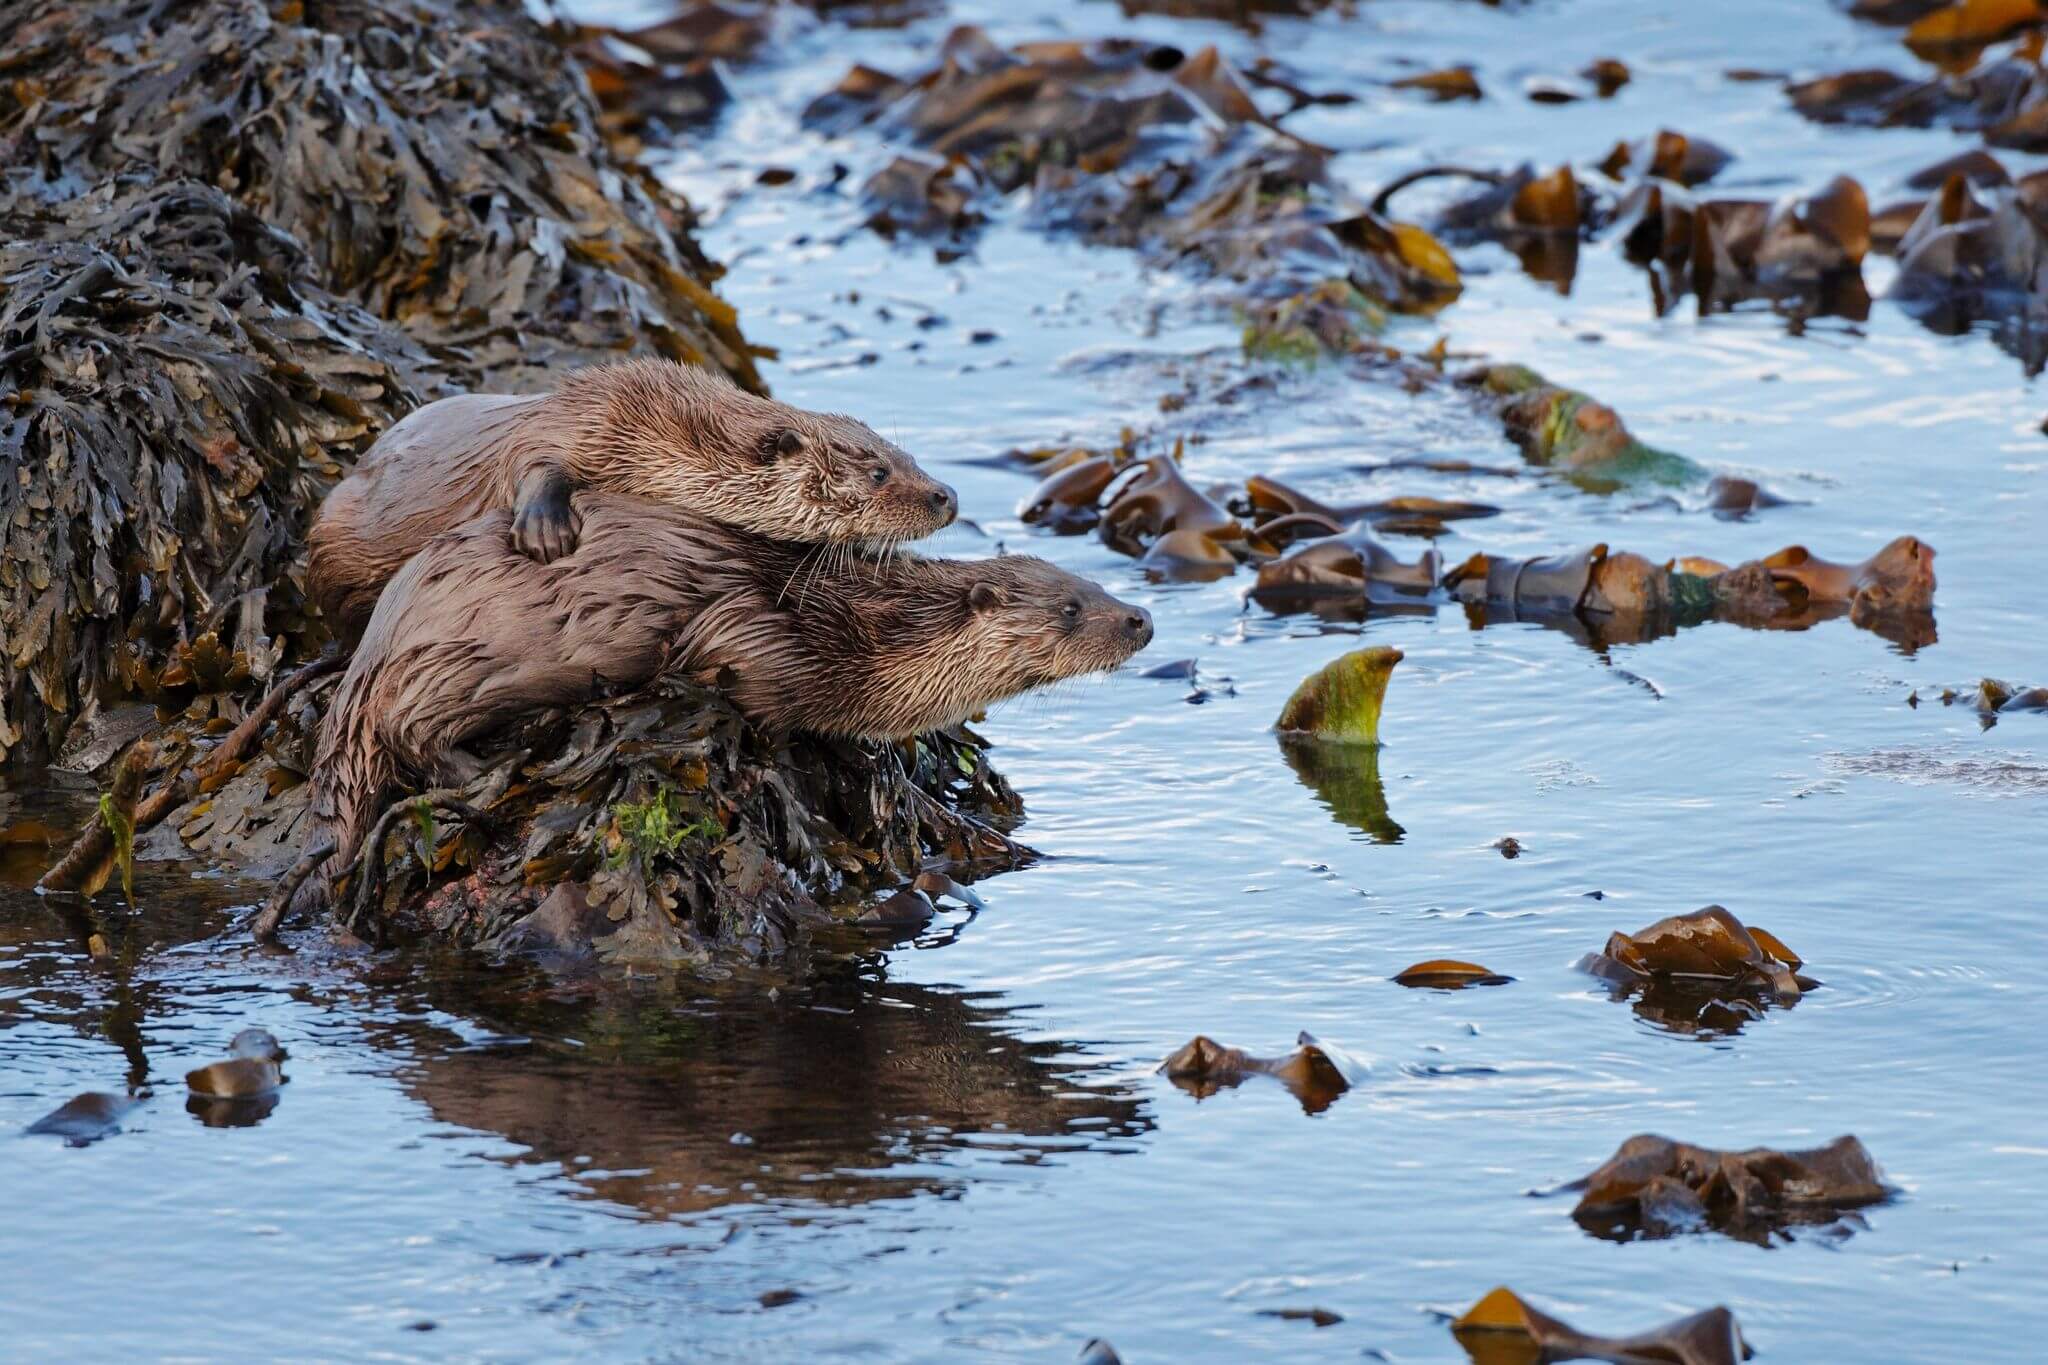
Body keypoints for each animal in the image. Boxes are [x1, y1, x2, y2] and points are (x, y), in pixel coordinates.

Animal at [299, 497, 1155, 912]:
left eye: (1098, 585)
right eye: (1073, 608)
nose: (1141, 618)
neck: (867, 628)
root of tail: (374, 646)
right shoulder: (754, 629)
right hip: (456, 661)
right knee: (410, 731)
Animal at [305, 360, 958, 642]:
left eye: (907, 456)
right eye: (878, 471)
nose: (947, 495)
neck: (663, 432)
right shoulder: (587, 418)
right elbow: (537, 459)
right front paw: (546, 530)